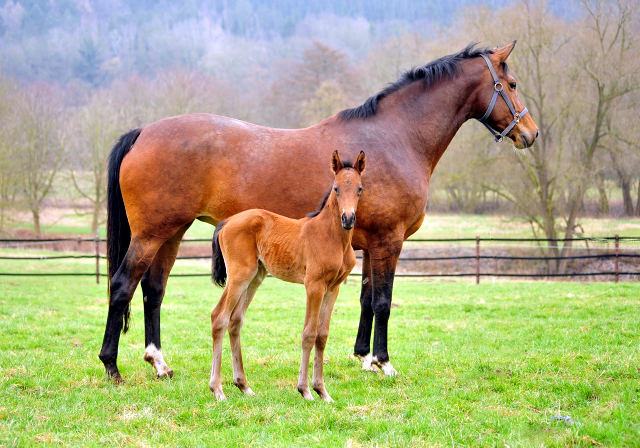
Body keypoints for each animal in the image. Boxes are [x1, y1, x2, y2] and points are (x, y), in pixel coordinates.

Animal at [208, 151, 362, 402]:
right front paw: (305, 390)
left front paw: (323, 392)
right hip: (239, 275)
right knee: (219, 317)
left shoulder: (333, 288)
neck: (332, 237)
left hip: (255, 277)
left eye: (359, 188)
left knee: (235, 321)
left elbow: (322, 335)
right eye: (336, 188)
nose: (348, 219)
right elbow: (309, 333)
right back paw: (218, 390)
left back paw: (244, 386)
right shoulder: (314, 285)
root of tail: (228, 221)